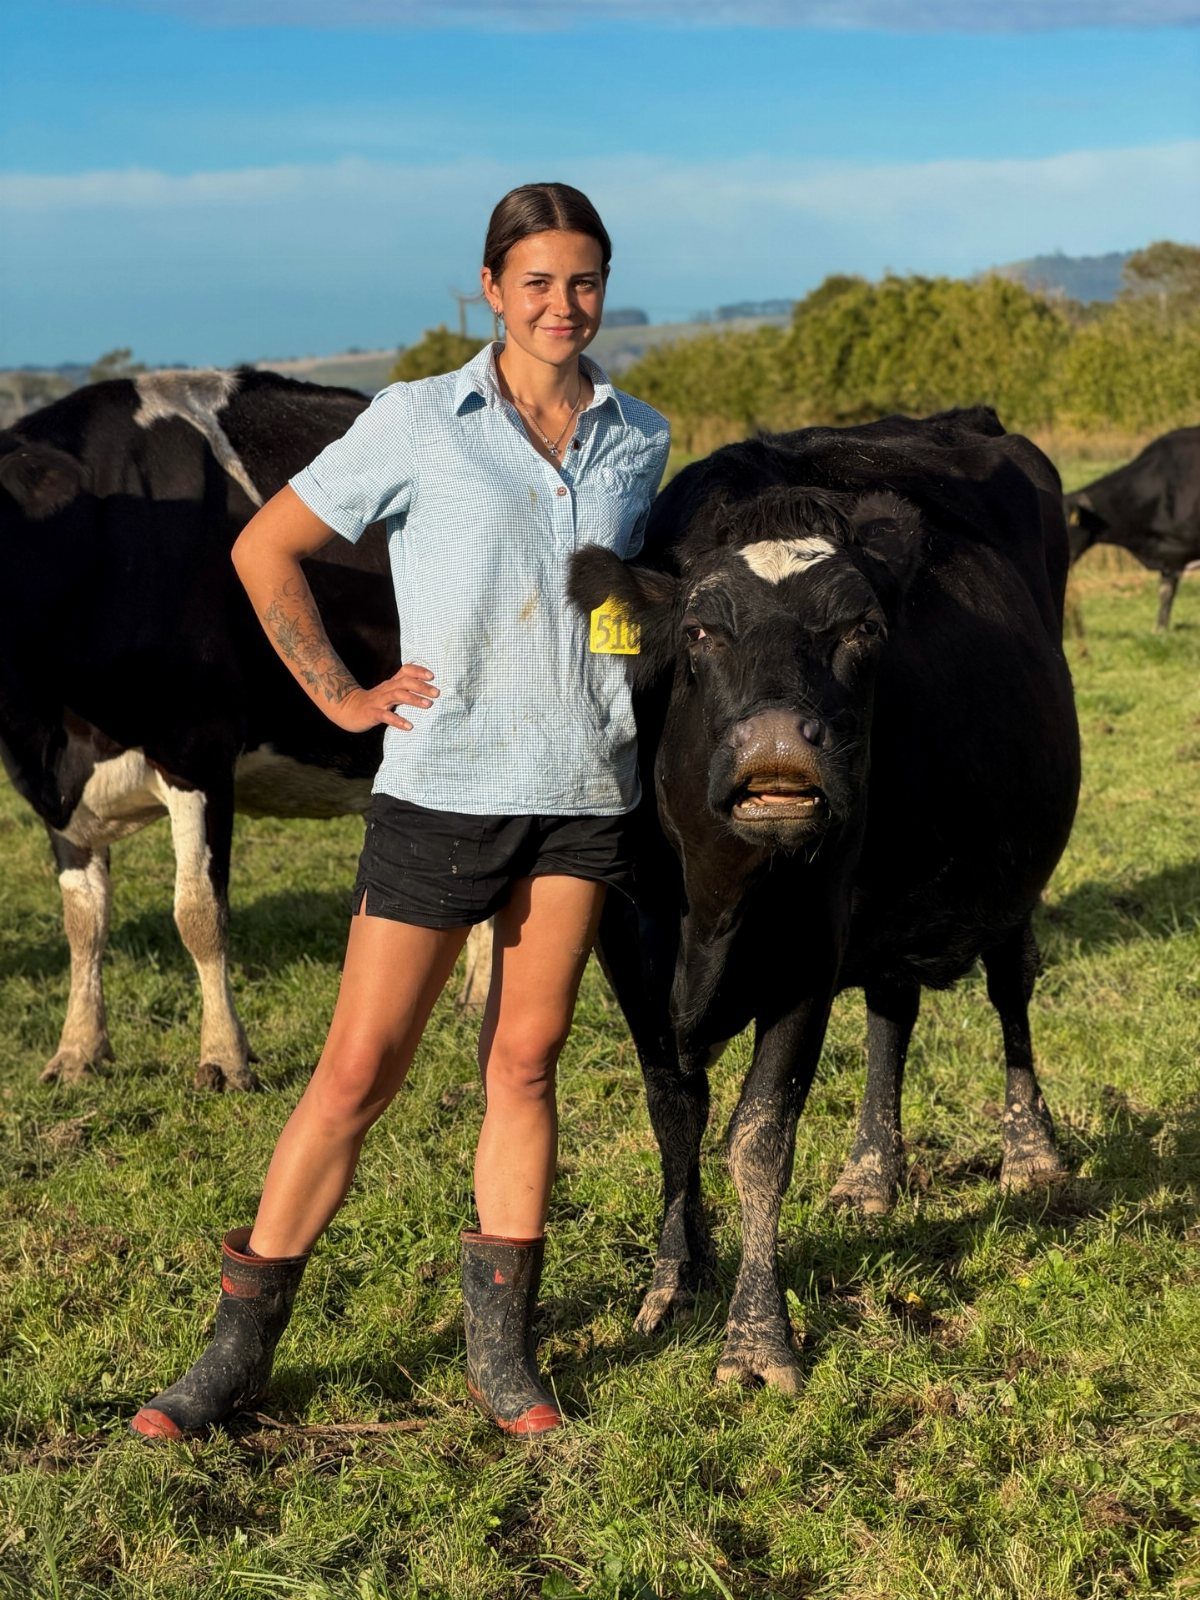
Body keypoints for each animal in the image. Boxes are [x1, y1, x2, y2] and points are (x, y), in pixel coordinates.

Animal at [0, 368, 489, 1092]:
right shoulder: (59, 792)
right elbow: (83, 923)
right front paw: (78, 1051)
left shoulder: (198, 751)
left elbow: (199, 916)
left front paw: (224, 1057)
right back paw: (477, 996)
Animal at [569, 407, 1081, 1392]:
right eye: (699, 632)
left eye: (865, 628)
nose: (778, 745)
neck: (715, 902)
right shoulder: (629, 943)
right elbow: (674, 1115)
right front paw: (673, 1281)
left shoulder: (805, 950)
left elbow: (759, 1139)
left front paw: (756, 1341)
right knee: (892, 1008)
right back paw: (872, 1174)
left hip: (1009, 877)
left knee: (1011, 986)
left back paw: (1031, 1153)